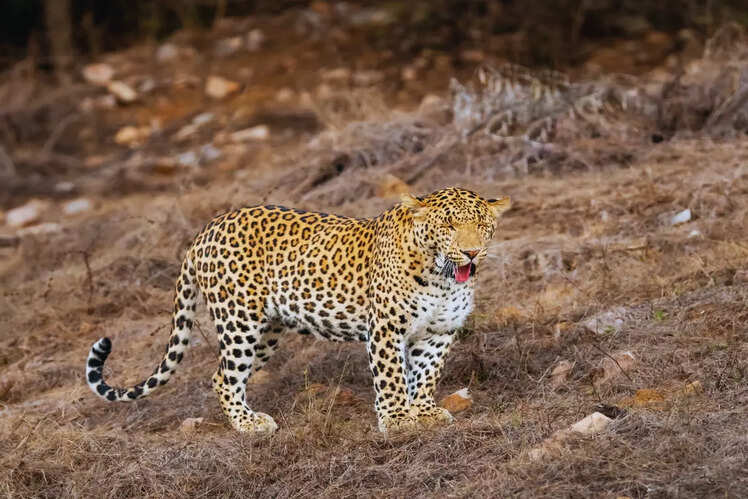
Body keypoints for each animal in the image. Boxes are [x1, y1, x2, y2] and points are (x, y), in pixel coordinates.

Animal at [86, 187, 511, 434]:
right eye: (449, 225)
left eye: (481, 226)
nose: (472, 252)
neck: (442, 277)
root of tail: (205, 230)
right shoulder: (386, 329)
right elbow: (391, 378)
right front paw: (396, 420)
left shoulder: (439, 332)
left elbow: (425, 376)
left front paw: (423, 412)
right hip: (239, 321)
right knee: (224, 377)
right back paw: (248, 424)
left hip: (267, 330)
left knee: (221, 375)